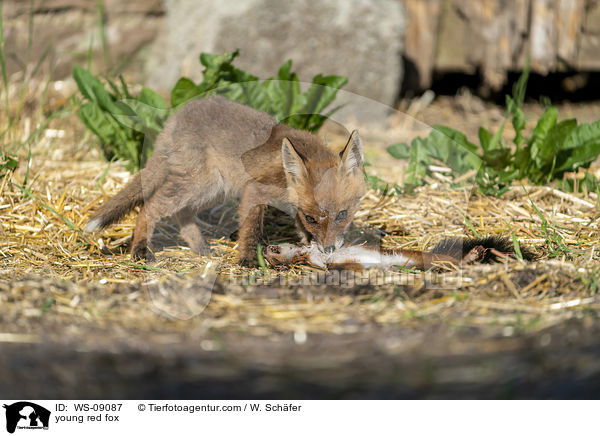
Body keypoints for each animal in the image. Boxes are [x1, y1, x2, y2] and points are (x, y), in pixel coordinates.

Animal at [84, 96, 366, 266]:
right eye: (312, 218)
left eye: (343, 214)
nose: (329, 250)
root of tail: (172, 122)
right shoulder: (254, 189)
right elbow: (250, 229)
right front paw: (248, 261)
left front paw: (309, 244)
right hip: (201, 184)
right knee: (148, 208)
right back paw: (140, 251)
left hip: (214, 191)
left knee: (182, 215)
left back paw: (201, 248)